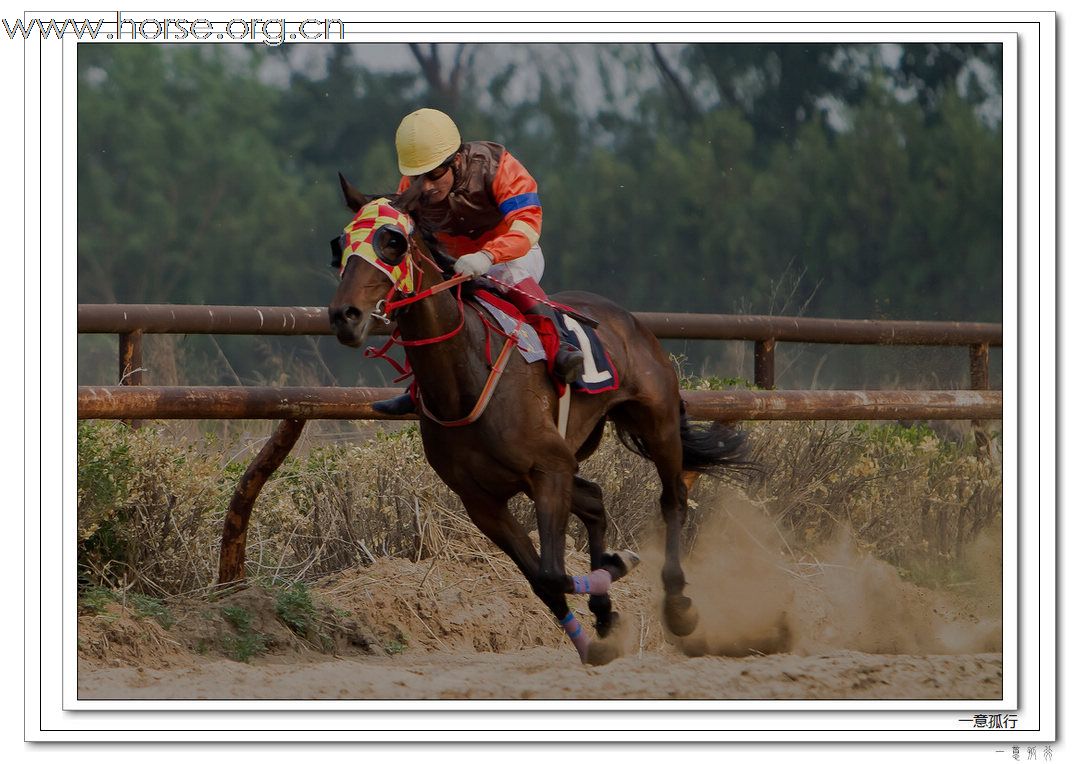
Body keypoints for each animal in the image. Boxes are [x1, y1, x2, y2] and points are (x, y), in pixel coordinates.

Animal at [328, 178, 751, 661]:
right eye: (339, 245)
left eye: (393, 242)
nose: (344, 316)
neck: (464, 380)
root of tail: (631, 321)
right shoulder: (483, 500)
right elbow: (542, 580)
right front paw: (594, 633)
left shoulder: (548, 470)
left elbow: (551, 571)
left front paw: (619, 566)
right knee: (595, 500)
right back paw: (605, 605)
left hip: (656, 421)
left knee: (673, 498)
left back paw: (678, 604)